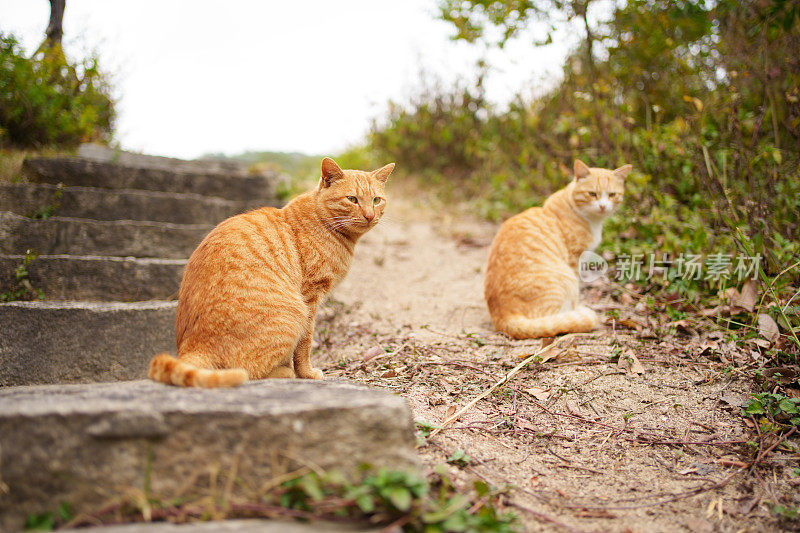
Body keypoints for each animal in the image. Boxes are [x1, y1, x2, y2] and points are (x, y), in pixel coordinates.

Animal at [149, 158, 394, 386]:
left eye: (376, 200)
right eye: (352, 199)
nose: (370, 215)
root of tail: (192, 345)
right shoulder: (310, 297)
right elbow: (305, 343)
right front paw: (306, 373)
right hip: (292, 313)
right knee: (248, 370)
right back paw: (285, 373)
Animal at [482, 160, 632, 338]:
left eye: (612, 195)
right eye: (592, 194)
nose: (603, 206)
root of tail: (502, 318)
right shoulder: (574, 260)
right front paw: (576, 310)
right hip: (564, 280)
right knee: (551, 319)